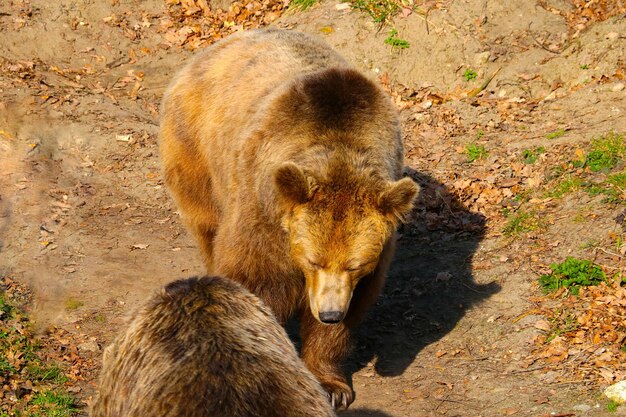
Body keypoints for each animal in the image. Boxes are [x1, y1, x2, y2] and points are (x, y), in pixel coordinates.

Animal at [158, 29, 416, 410]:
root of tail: (217, 46)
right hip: (197, 149)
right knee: (206, 224)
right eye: (313, 259)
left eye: (356, 264)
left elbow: (350, 311)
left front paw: (332, 385)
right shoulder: (262, 211)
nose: (330, 312)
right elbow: (254, 278)